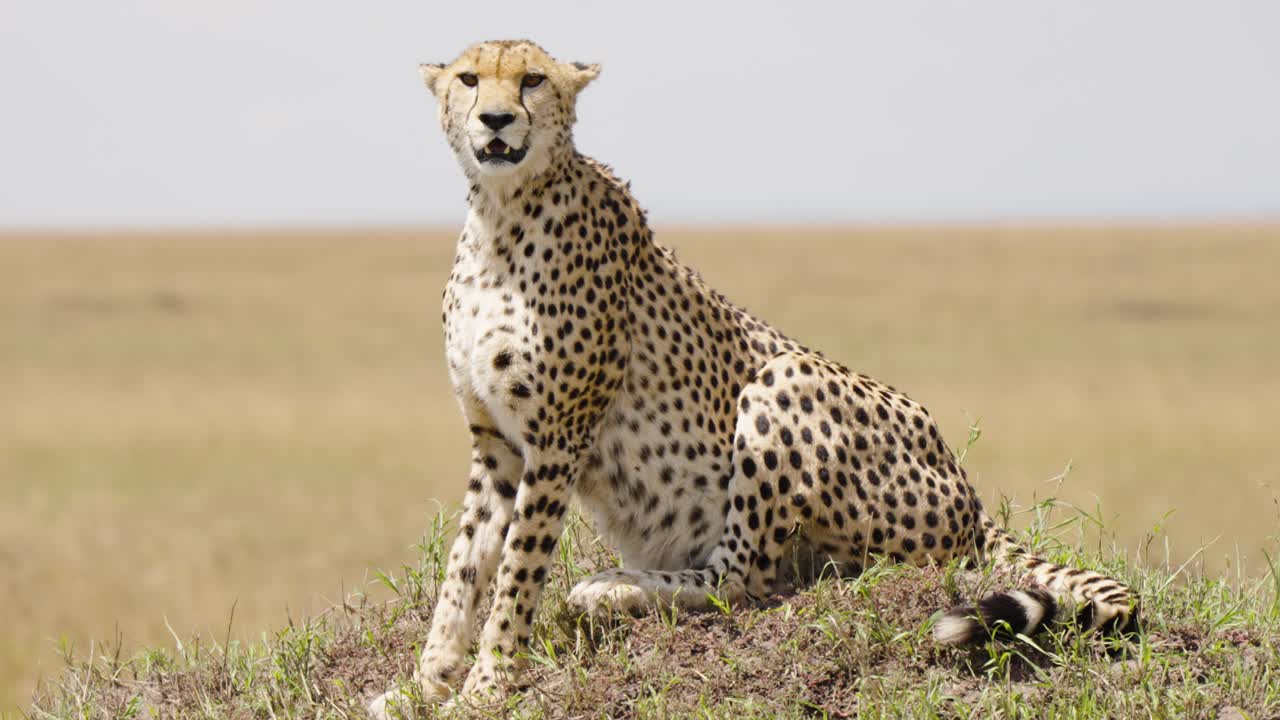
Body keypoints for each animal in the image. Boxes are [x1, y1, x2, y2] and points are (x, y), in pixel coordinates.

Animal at [369, 39, 1137, 718]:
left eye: (531, 79)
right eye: (469, 79)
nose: (496, 120)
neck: (501, 215)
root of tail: (968, 496)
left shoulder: (557, 436)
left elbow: (516, 575)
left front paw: (487, 685)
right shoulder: (497, 446)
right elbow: (463, 572)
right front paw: (425, 684)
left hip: (780, 375)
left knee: (744, 577)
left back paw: (613, 586)